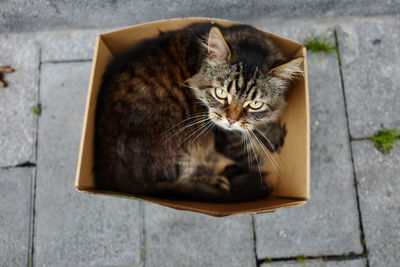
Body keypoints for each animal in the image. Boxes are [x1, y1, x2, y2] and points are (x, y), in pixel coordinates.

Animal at [95, 22, 304, 203]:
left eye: (254, 104)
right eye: (221, 93)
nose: (231, 120)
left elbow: (258, 125)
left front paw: (271, 132)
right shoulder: (226, 136)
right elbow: (253, 159)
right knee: (181, 184)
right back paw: (219, 182)